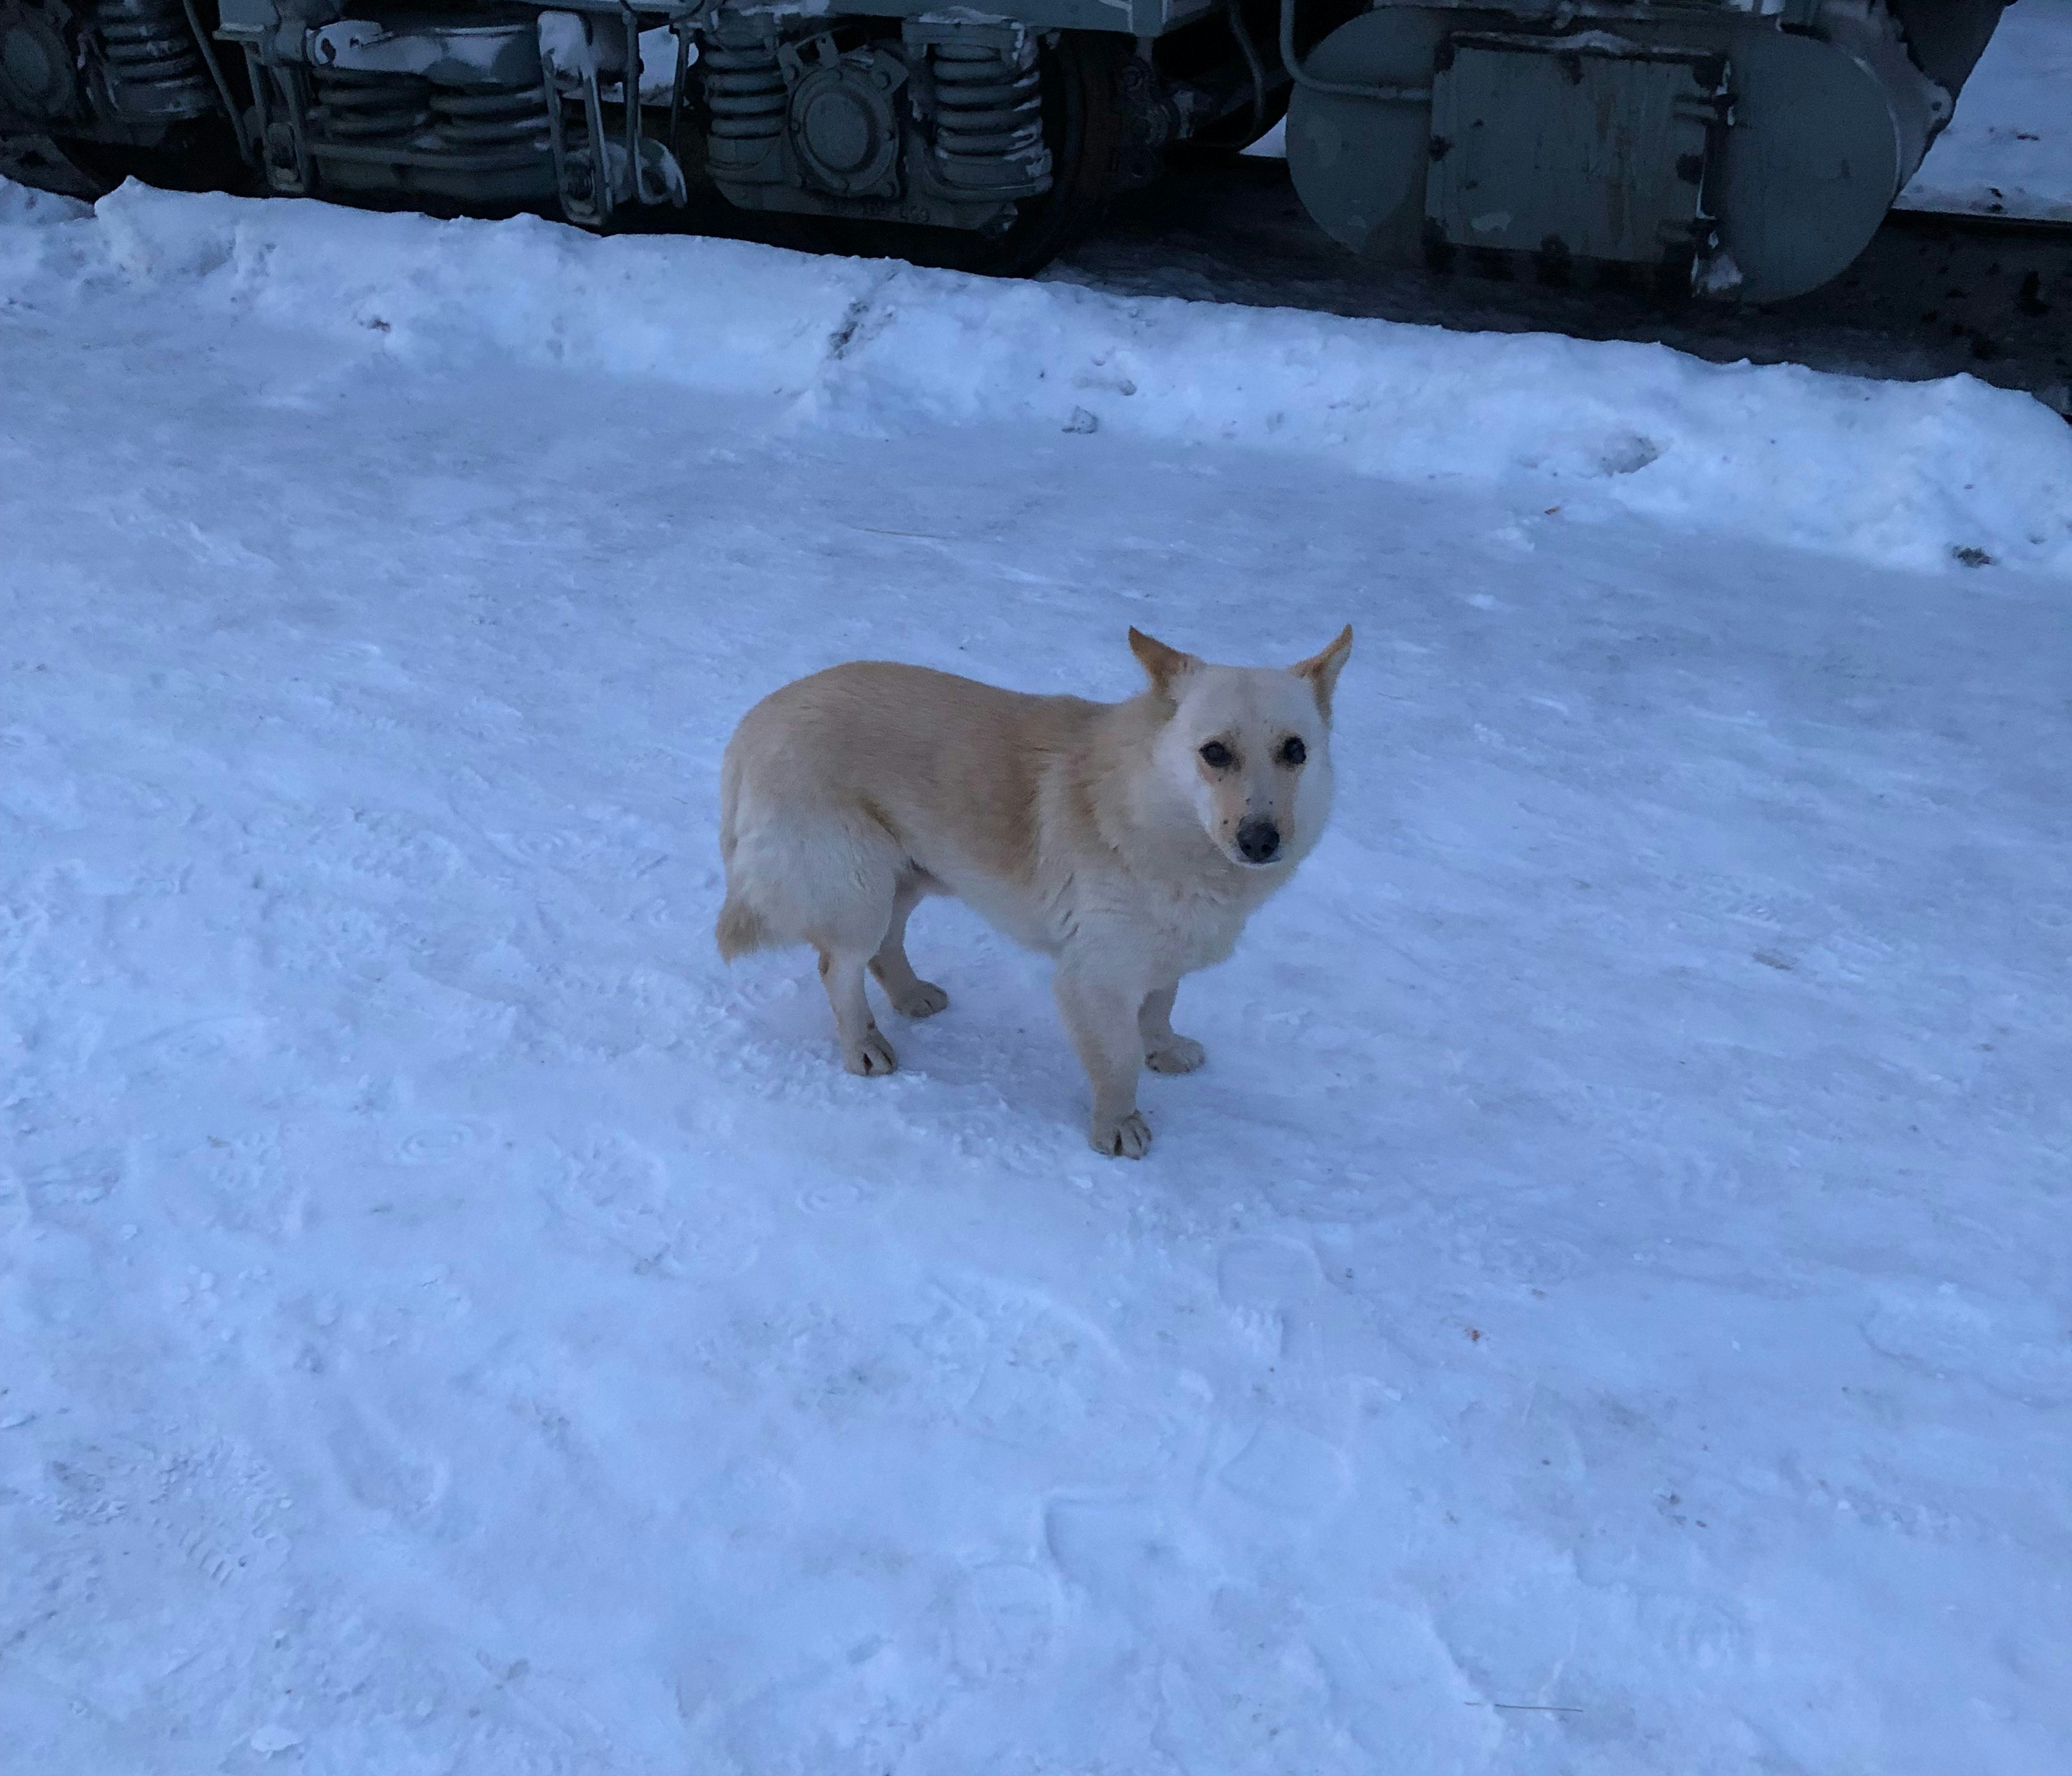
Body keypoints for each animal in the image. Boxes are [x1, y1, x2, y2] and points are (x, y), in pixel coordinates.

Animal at [717, 630, 1359, 1160]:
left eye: (1295, 751)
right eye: (1215, 752)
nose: (1260, 839)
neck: (1157, 815)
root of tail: (754, 719)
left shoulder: (1163, 953)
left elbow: (1159, 1008)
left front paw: (1165, 1050)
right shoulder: (1095, 979)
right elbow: (1118, 1060)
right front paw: (1117, 1125)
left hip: (910, 875)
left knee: (883, 949)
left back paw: (911, 996)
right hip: (860, 889)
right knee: (838, 968)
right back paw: (863, 1046)